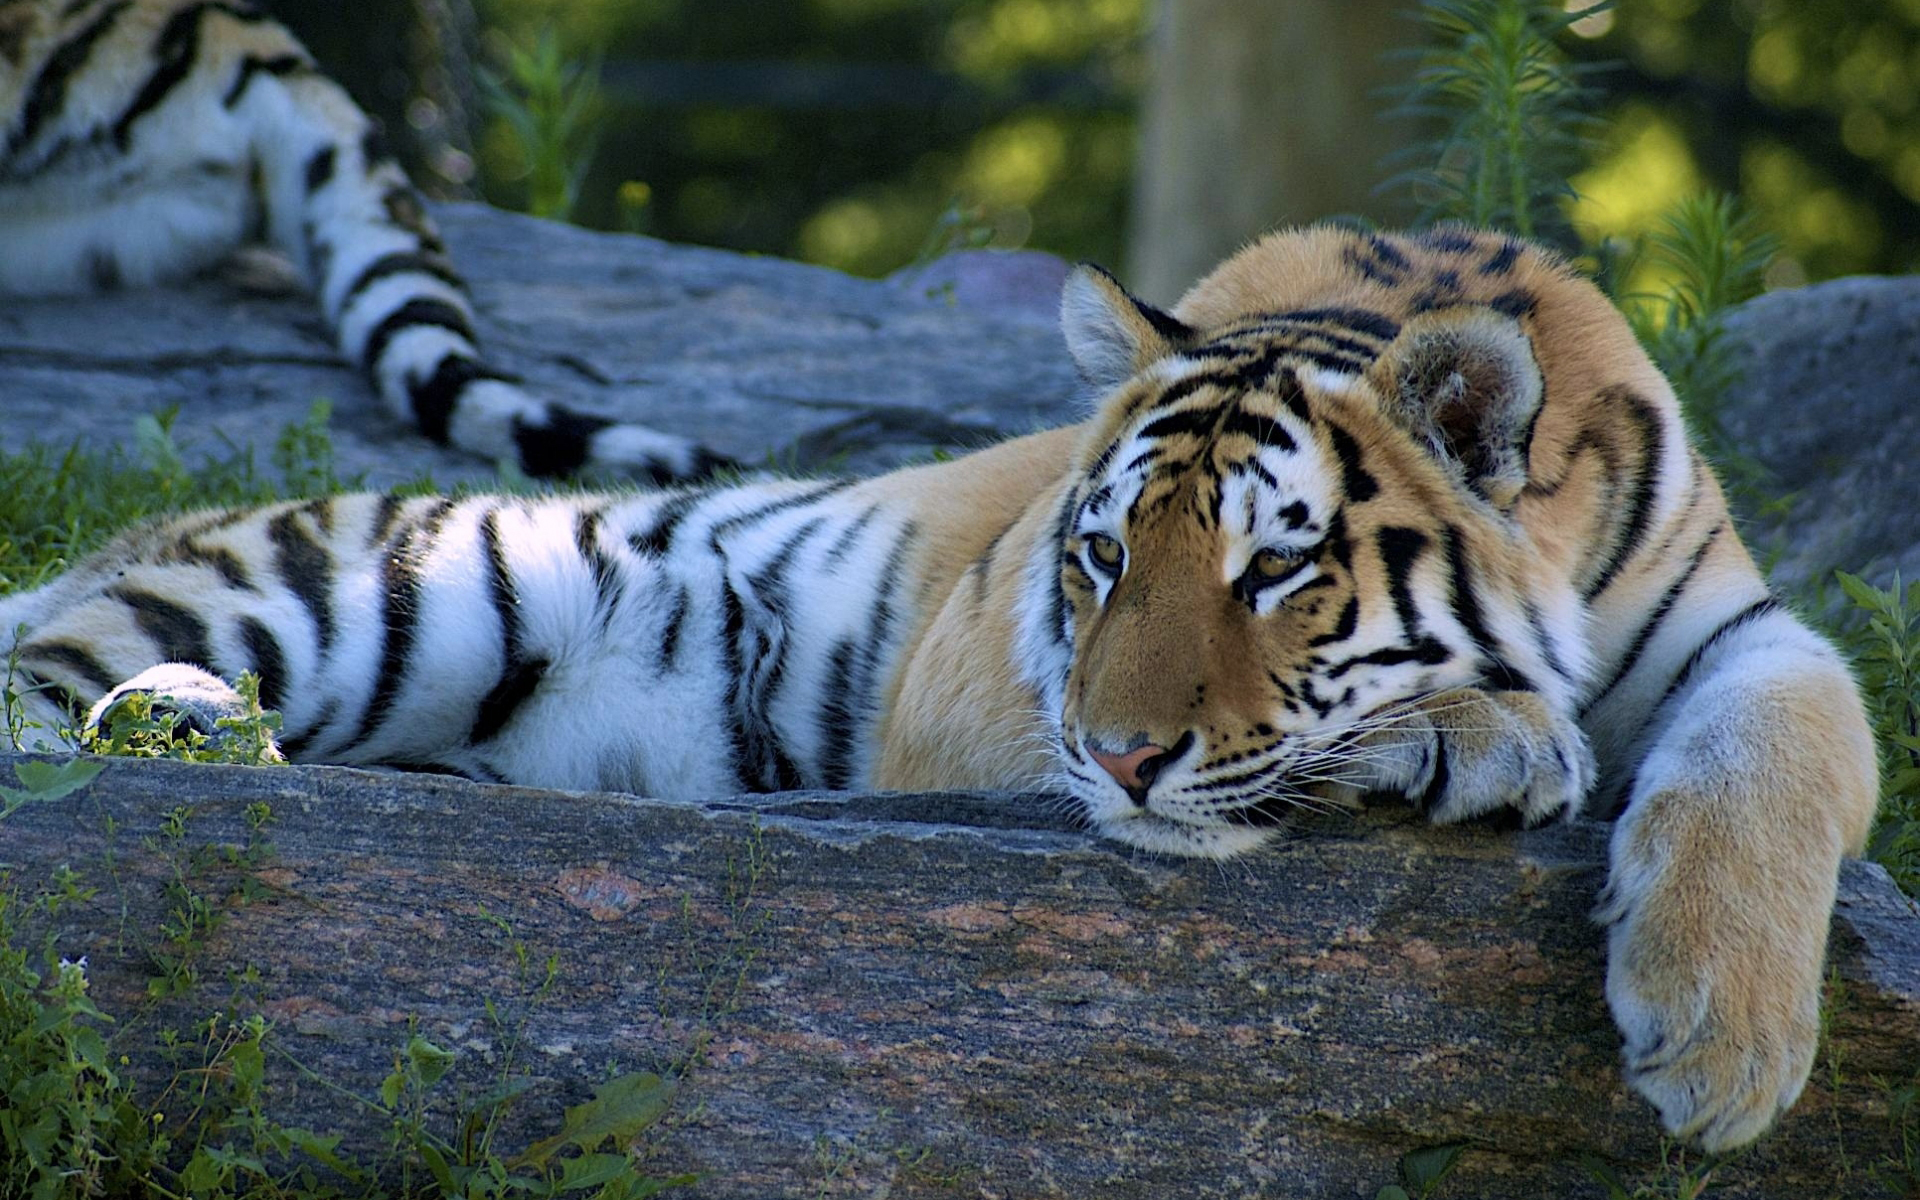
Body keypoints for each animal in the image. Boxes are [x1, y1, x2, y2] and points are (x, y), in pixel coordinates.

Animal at [0, 224, 1873, 1152]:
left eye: (1274, 571)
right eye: (1101, 558)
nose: (1120, 761)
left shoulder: (1744, 626)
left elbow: (1795, 741)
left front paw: (1721, 1044)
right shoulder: (979, 680)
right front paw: (1489, 738)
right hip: (390, 588)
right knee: (54, 700)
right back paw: (187, 721)